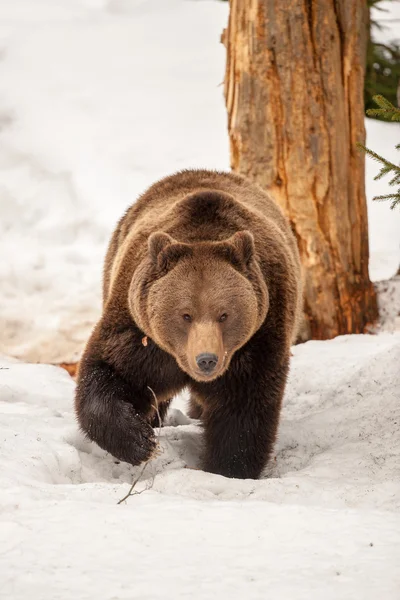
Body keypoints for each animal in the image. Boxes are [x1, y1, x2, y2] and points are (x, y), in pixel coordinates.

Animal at [75, 169, 302, 478]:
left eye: (224, 314)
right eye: (185, 314)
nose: (206, 359)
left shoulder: (259, 338)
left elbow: (243, 412)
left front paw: (228, 468)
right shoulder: (141, 335)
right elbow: (109, 372)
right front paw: (142, 442)